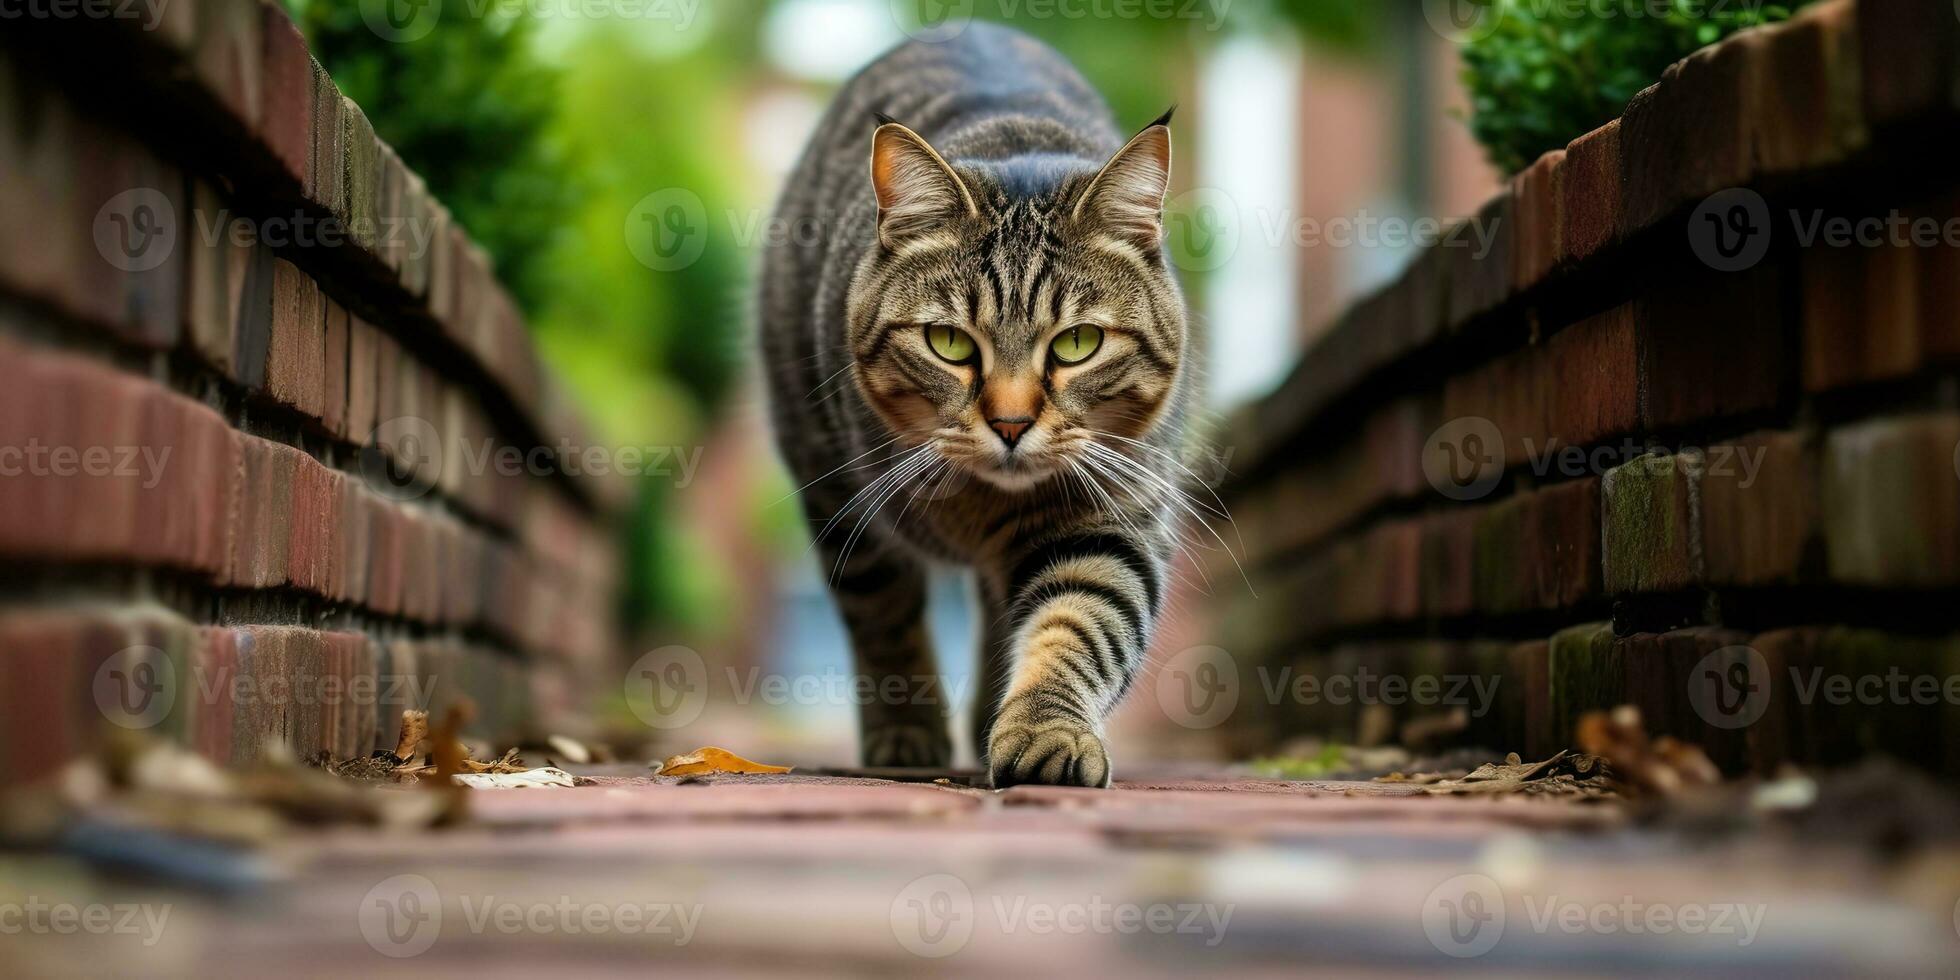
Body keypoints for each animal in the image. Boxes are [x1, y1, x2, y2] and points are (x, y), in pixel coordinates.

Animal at [760, 23, 1191, 787]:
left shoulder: (1112, 511)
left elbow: (1081, 618)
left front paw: (1044, 730)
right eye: (949, 342)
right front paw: (908, 730)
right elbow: (885, 621)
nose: (1011, 424)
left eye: (1077, 343)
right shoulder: (848, 508)